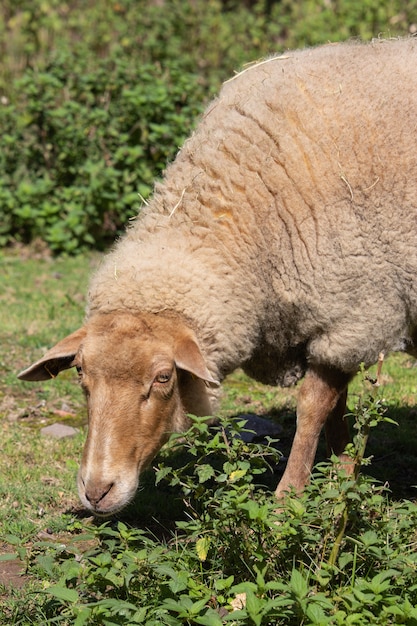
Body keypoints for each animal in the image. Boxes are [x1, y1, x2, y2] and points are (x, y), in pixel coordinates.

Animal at [17, 40, 416, 516]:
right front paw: (341, 479)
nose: (97, 491)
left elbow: (313, 407)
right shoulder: (329, 320)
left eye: (163, 378)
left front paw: (292, 496)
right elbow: (336, 409)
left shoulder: (355, 316)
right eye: (80, 373)